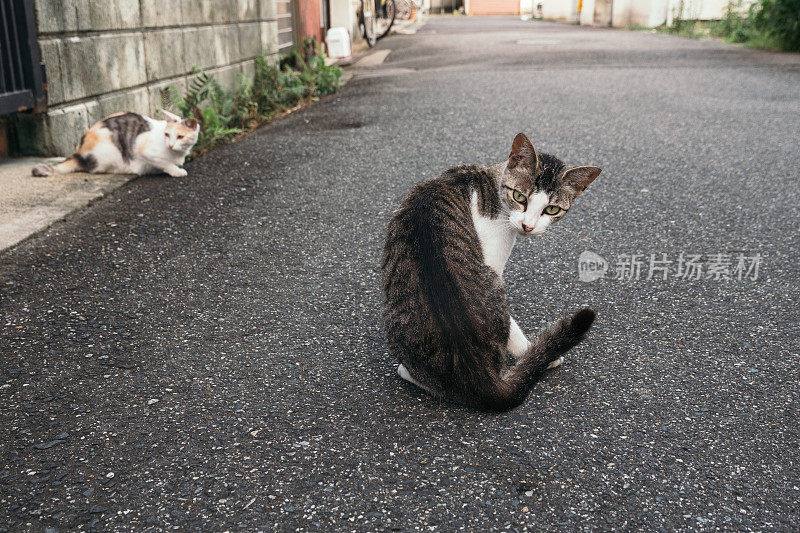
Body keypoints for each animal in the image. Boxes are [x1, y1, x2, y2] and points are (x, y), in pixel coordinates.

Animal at [32, 109, 198, 178]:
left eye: (180, 137)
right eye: (167, 135)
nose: (170, 145)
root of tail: (78, 152)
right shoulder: (145, 150)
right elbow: (165, 163)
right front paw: (177, 171)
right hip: (110, 153)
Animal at [382, 133, 600, 412]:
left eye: (551, 209)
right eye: (520, 196)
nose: (527, 226)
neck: (490, 183)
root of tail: (483, 381)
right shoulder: (494, 263)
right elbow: (513, 330)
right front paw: (534, 353)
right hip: (491, 283)